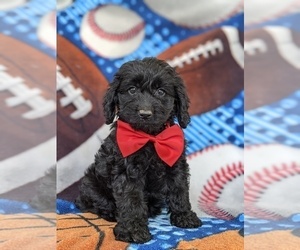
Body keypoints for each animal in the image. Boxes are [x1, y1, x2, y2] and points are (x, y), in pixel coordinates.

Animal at [75, 57, 202, 242]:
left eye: (161, 92)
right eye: (132, 90)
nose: (145, 113)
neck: (150, 137)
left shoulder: (175, 164)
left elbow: (179, 189)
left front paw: (184, 216)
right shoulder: (126, 171)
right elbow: (131, 199)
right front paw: (132, 230)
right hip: (91, 185)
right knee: (94, 203)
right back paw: (112, 213)